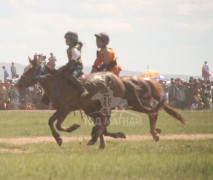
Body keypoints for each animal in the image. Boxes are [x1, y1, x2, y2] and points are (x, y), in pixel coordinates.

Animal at [17, 56, 185, 149]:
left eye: (29, 70)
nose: (18, 84)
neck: (57, 83)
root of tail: (121, 81)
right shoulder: (73, 110)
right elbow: (54, 123)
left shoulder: (65, 109)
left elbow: (54, 123)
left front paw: (62, 136)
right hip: (126, 104)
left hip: (133, 104)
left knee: (153, 113)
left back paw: (154, 133)